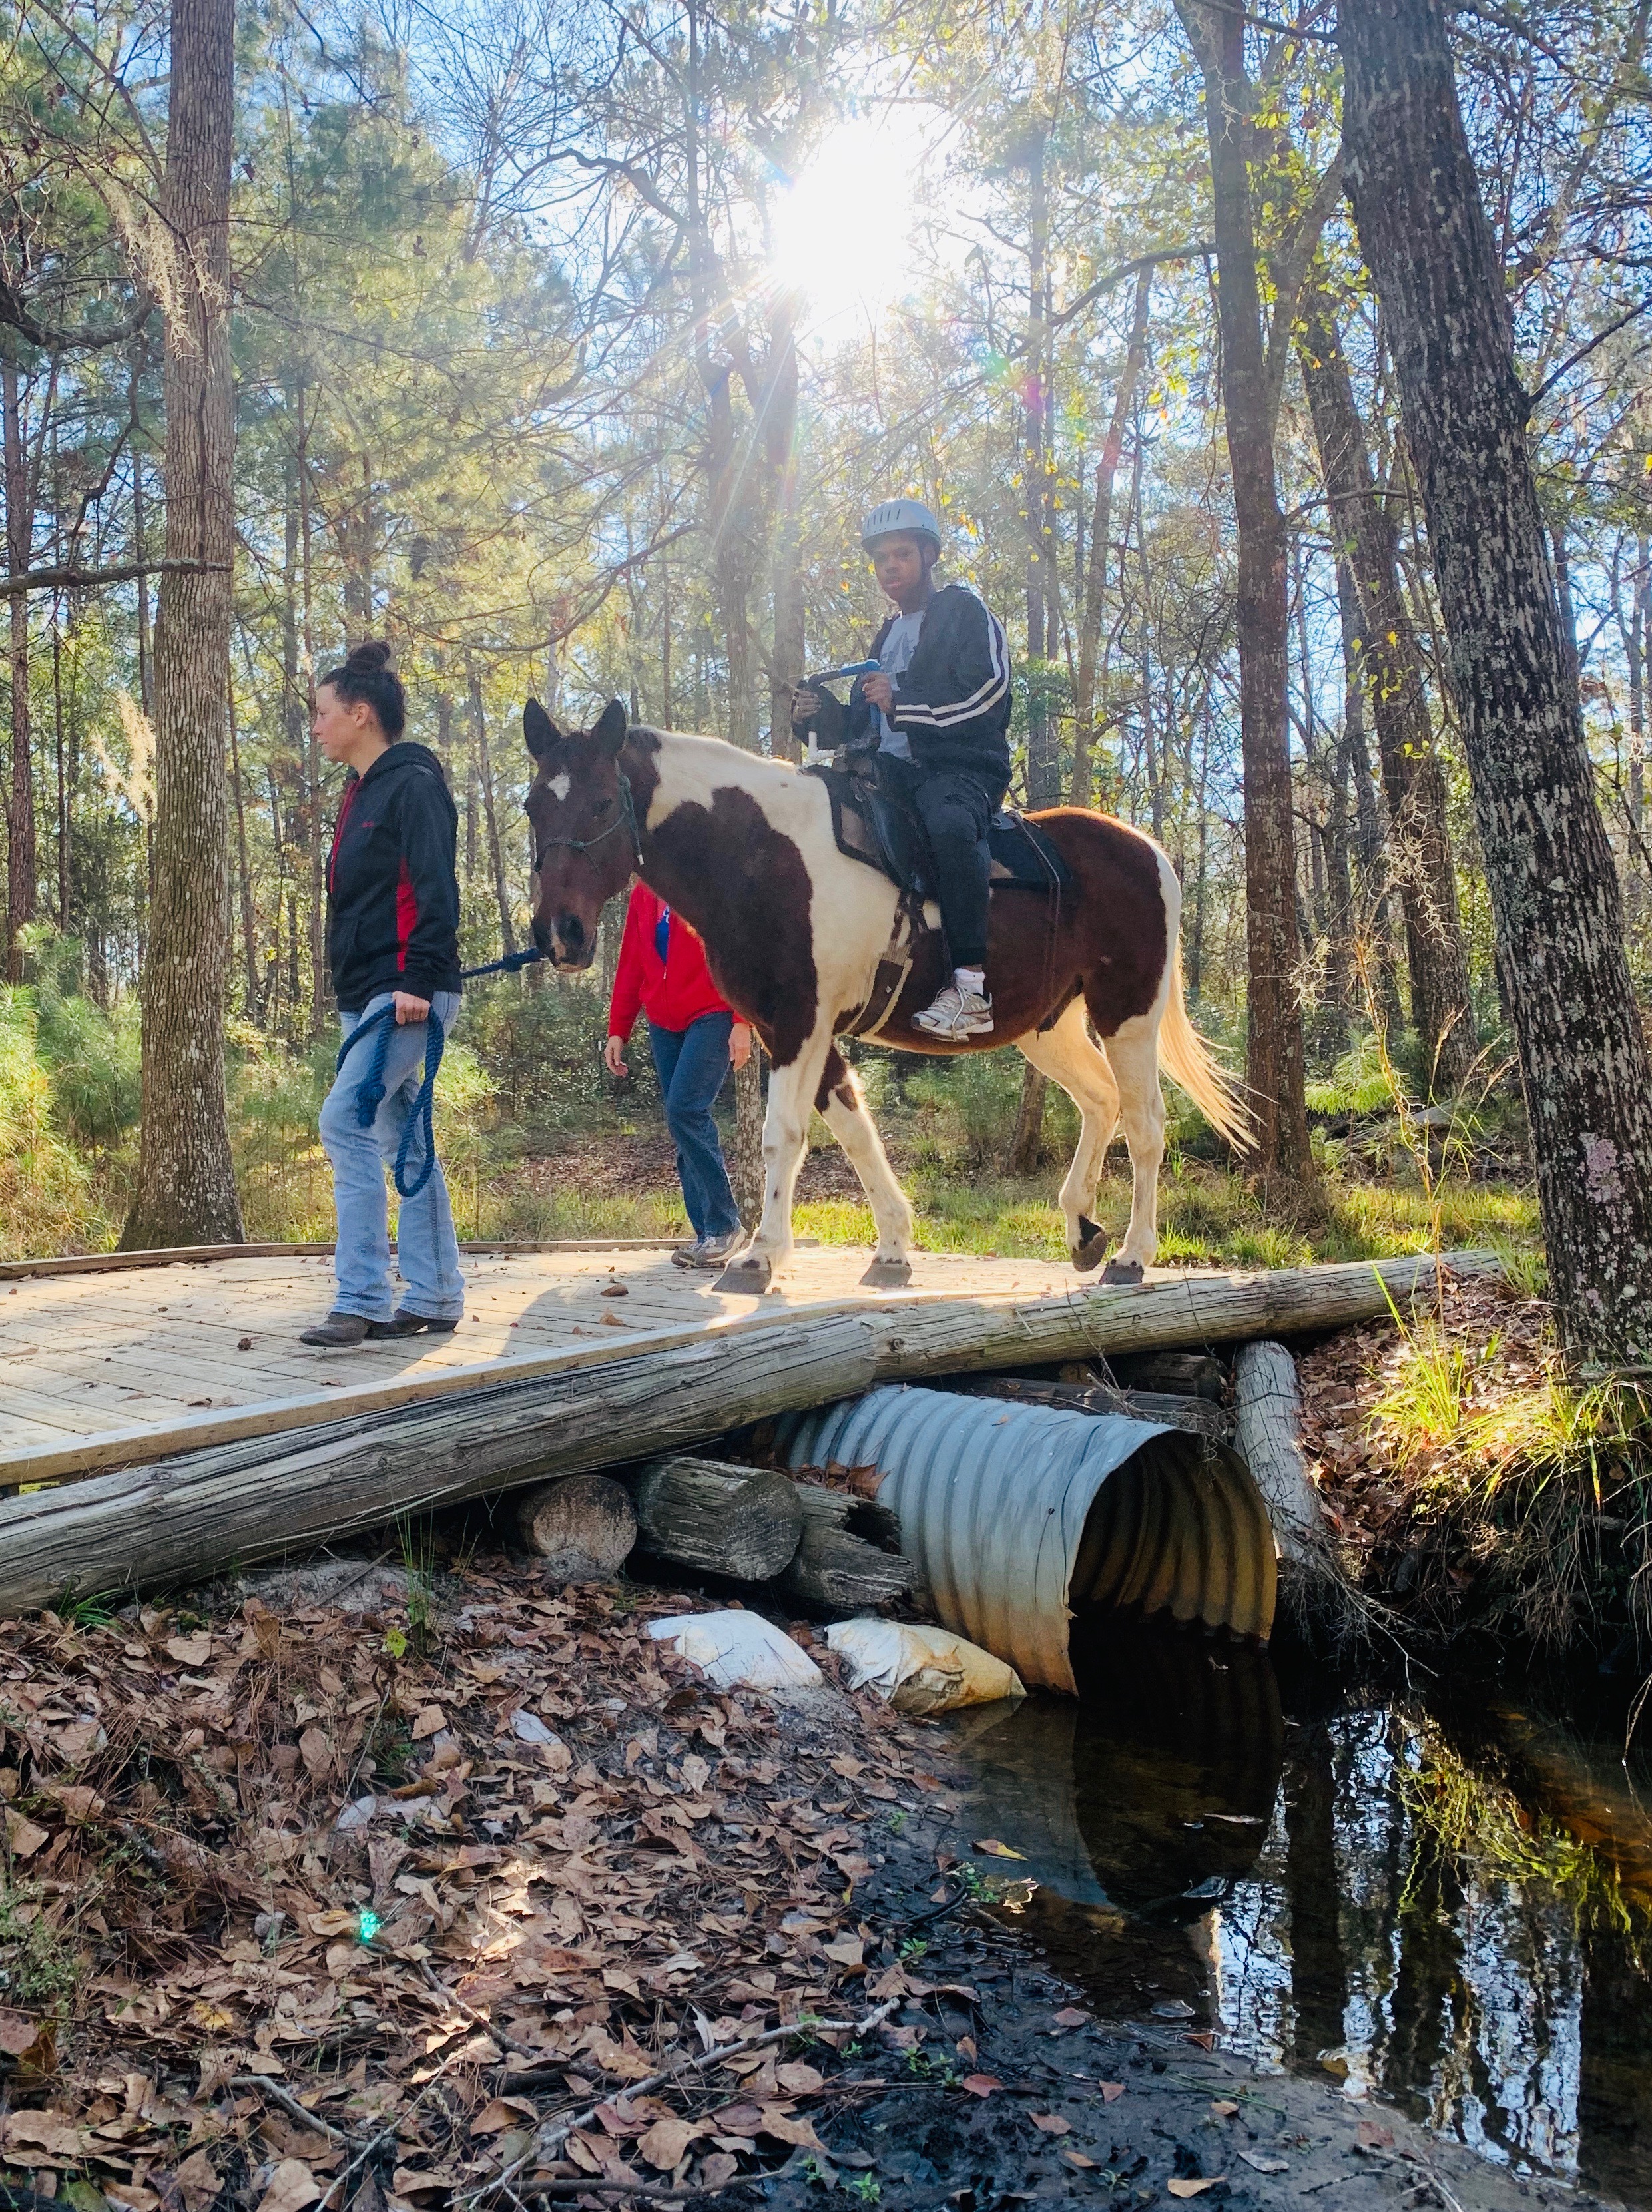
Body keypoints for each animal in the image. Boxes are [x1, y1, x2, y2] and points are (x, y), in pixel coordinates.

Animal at [524, 698, 1247, 1292]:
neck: (762, 853)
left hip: (1128, 1013)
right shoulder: (794, 1030)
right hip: (1049, 1028)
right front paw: (894, 1246)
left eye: (600, 803)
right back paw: (1082, 1228)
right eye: (533, 806)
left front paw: (760, 1257)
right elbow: (855, 1131)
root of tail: (1149, 850)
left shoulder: (799, 1022)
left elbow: (783, 1136)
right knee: (1100, 1101)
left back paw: (1132, 1254)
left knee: (1146, 1123)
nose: (560, 933)